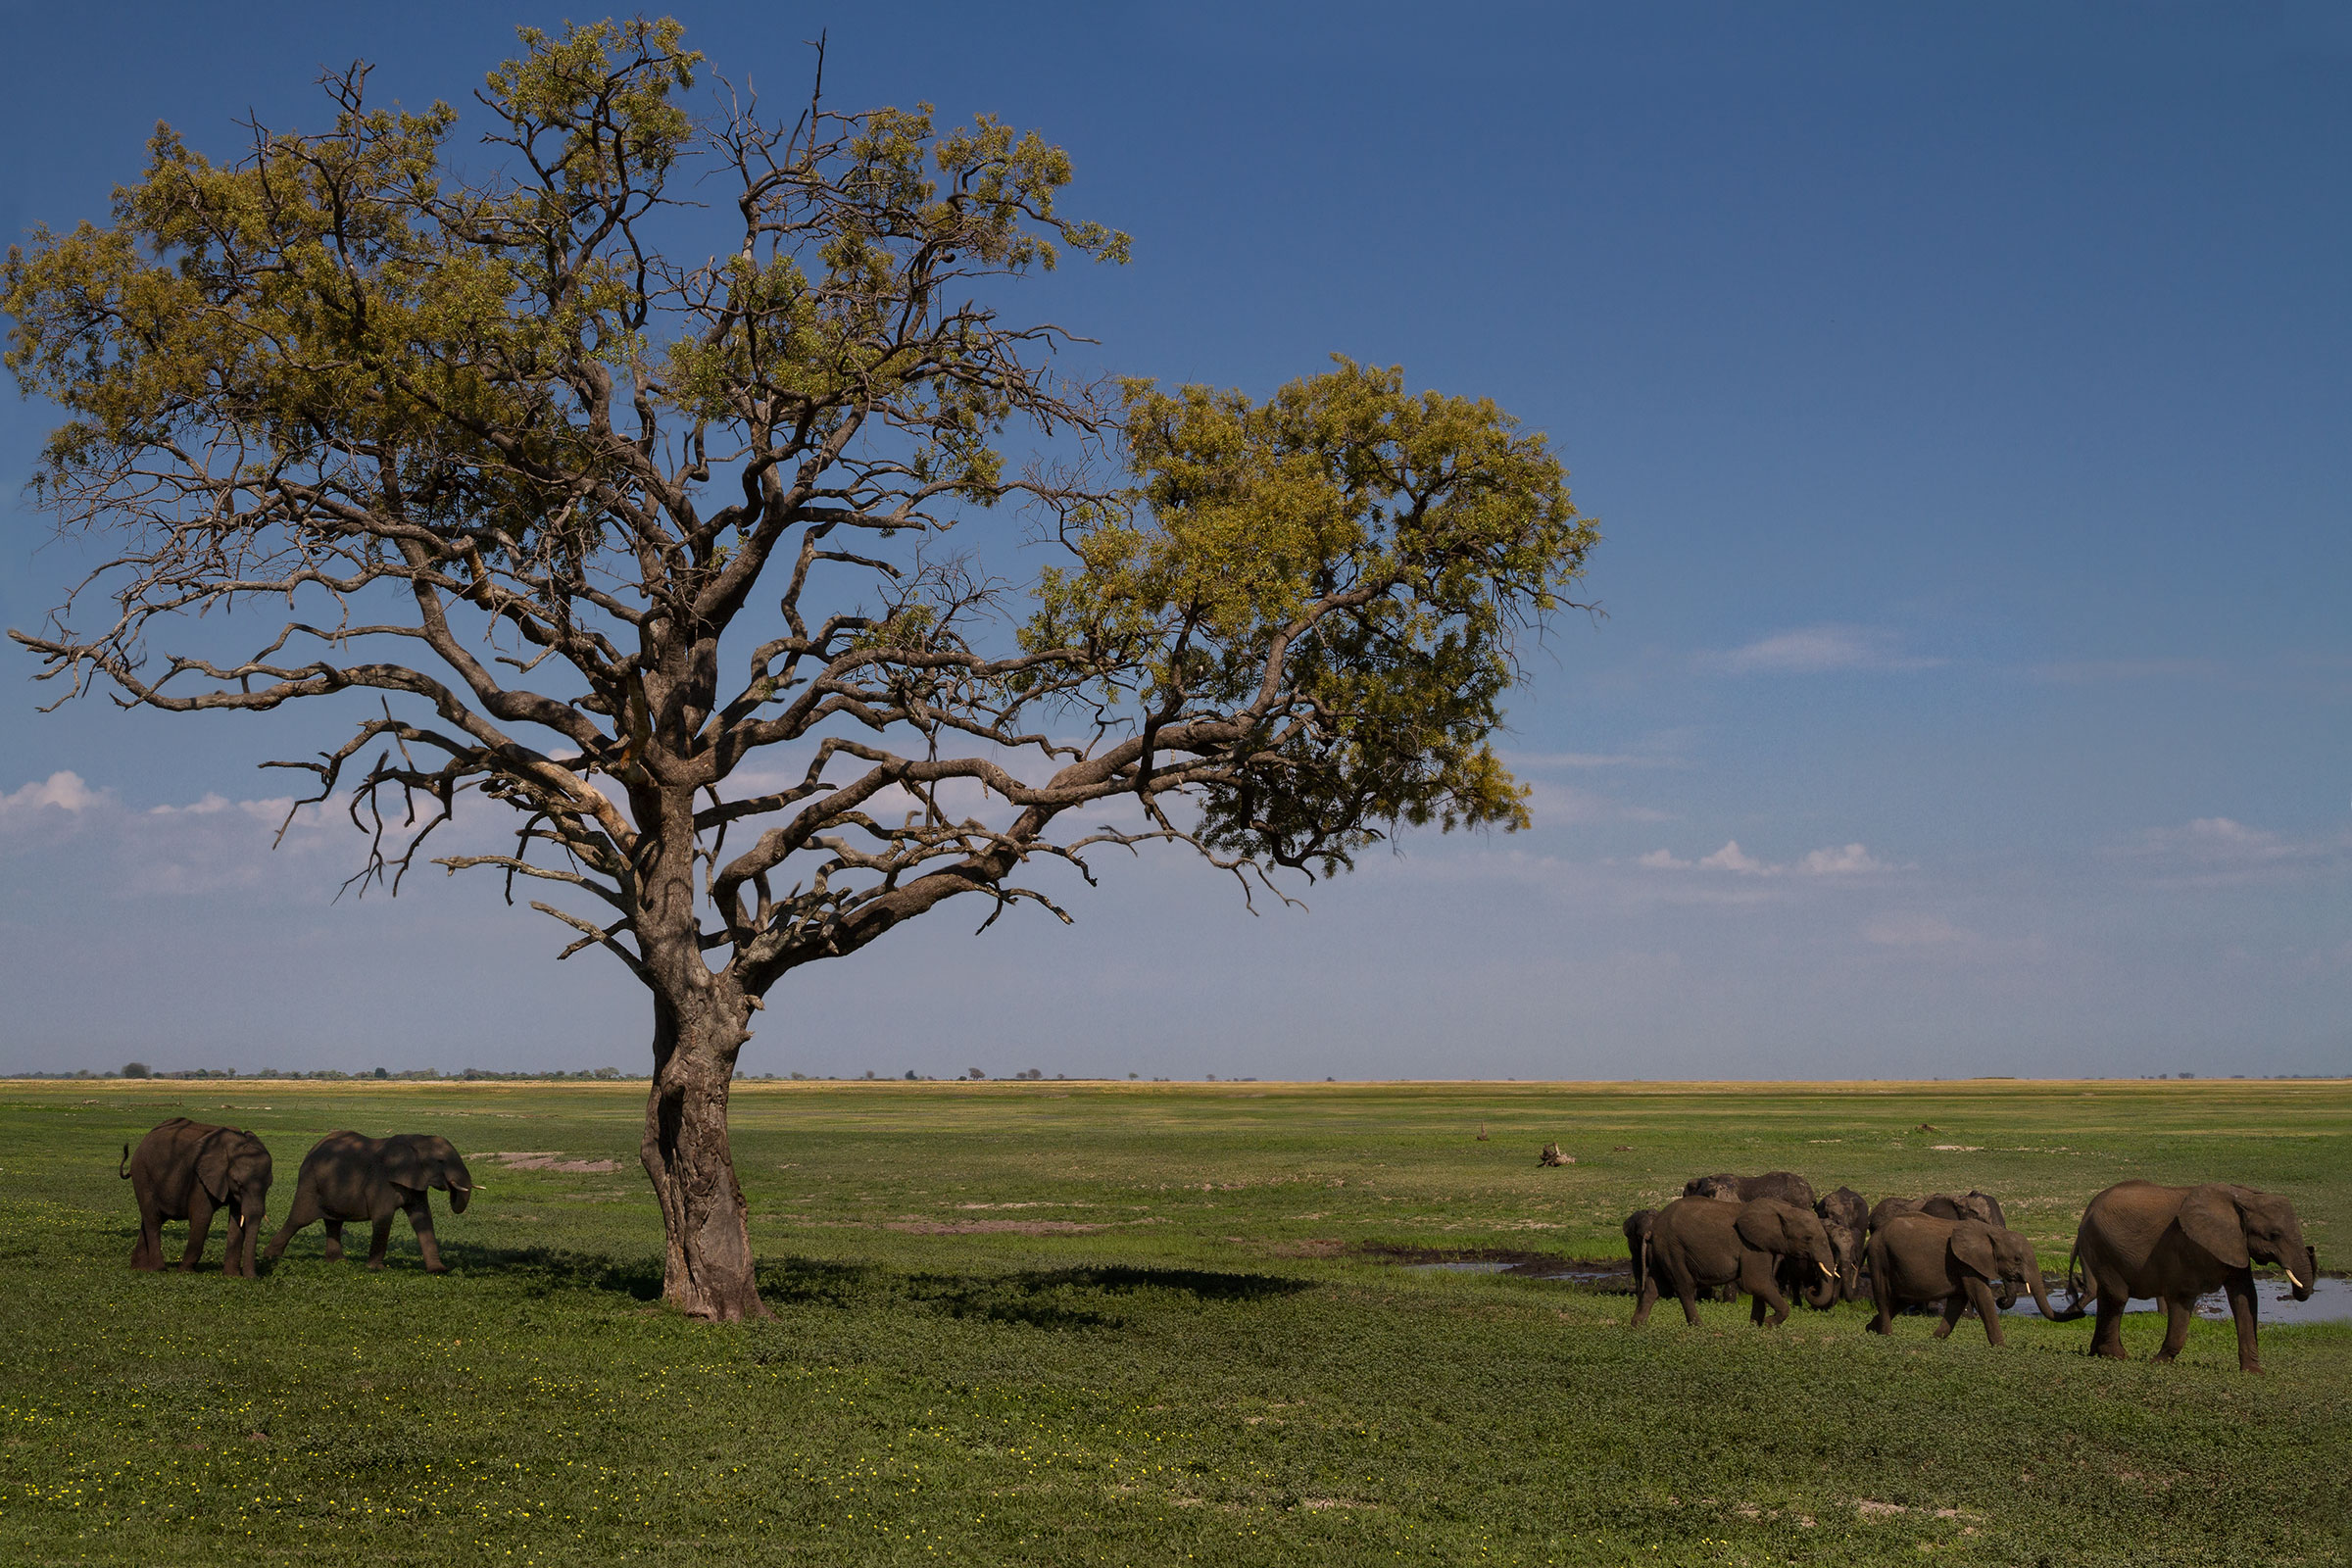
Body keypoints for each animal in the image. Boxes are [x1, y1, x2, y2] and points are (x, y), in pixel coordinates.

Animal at [120, 1118, 273, 1276]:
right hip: (143, 1175)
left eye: (269, 1184)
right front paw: (185, 1272)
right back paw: (159, 1269)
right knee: (153, 1219)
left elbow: (237, 1219)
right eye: (238, 1183)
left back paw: (140, 1268)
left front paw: (232, 1276)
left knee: (153, 1218)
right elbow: (202, 1216)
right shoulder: (199, 1179)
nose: (253, 1278)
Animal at [262, 1131, 474, 1273]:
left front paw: (439, 1270)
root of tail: (313, 1148)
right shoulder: (382, 1180)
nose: (452, 1190)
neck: (415, 1139)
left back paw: (339, 1262)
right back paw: (270, 1256)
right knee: (299, 1219)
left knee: (334, 1222)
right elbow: (383, 1217)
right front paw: (376, 1269)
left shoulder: (415, 1180)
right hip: (309, 1182)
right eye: (440, 1161)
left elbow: (422, 1218)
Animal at [1631, 1196, 1841, 1328]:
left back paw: (1638, 1326)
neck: (1782, 1208)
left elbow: (1762, 1285)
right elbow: (1757, 1283)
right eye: (1807, 1238)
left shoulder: (1764, 1246)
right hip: (1673, 1248)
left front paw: (1755, 1327)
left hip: (1662, 1251)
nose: (1812, 1289)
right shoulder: (1750, 1246)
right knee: (1684, 1286)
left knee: (1654, 1286)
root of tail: (1652, 1229)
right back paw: (1699, 1327)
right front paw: (1768, 1324)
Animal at [1865, 1213, 2060, 1345]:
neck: (1993, 1232)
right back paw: (1886, 1336)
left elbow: (1957, 1302)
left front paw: (1933, 1340)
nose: (2002, 1300)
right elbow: (1981, 1297)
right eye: (2017, 1259)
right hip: (1878, 1256)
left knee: (1900, 1301)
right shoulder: (1966, 1263)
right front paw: (2002, 1348)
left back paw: (1870, 1329)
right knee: (1883, 1297)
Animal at [2051, 1179, 2317, 1373]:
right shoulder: (2184, 1245)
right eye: (2273, 1235)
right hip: (2101, 1245)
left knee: (2108, 1297)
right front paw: (2158, 1363)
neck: (2244, 1197)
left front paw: (2254, 1373)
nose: (2312, 1249)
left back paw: (2098, 1352)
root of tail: (2087, 1211)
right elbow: (2181, 1298)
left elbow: (2245, 1298)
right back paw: (2117, 1356)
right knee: (2116, 1297)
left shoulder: (2235, 1245)